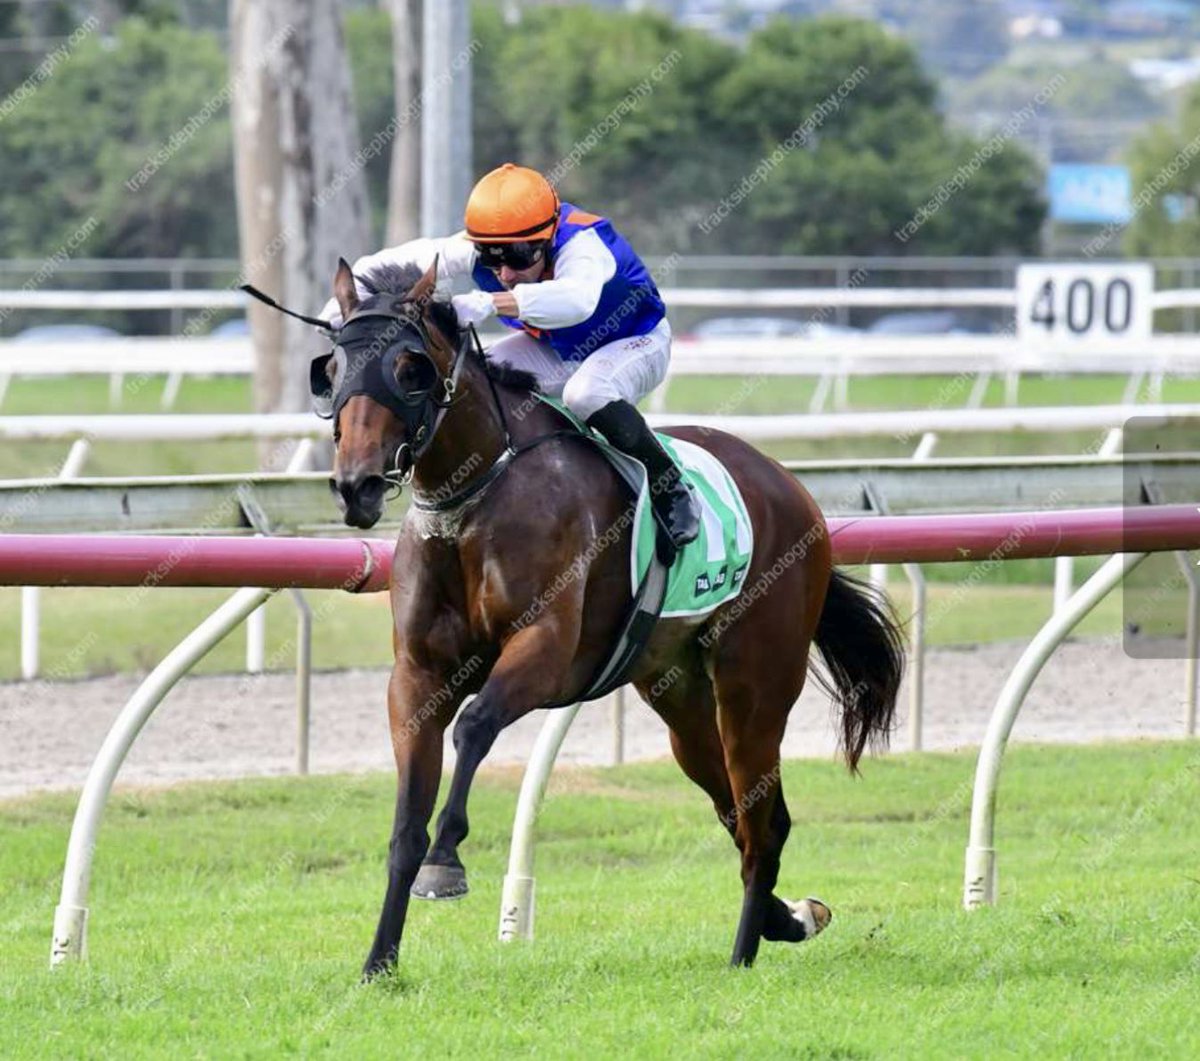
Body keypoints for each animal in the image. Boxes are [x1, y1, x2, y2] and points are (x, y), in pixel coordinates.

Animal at [318, 256, 904, 978]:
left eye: (409, 369)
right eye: (332, 368)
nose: (357, 485)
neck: (476, 499)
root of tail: (794, 490)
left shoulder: (545, 650)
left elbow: (477, 725)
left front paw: (446, 862)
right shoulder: (416, 677)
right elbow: (405, 821)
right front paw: (379, 961)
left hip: (755, 686)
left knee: (760, 821)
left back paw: (743, 953)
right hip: (680, 698)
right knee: (738, 811)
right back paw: (789, 918)